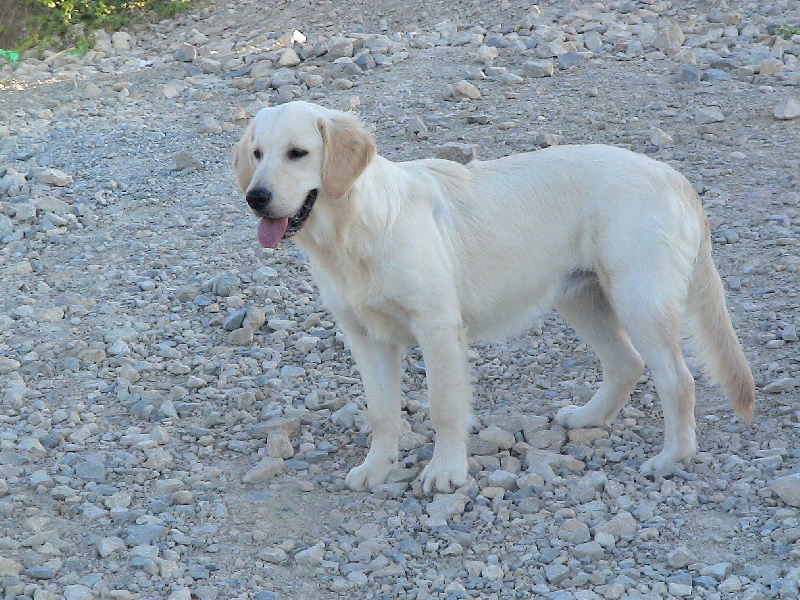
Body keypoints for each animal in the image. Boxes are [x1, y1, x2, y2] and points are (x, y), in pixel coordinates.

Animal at [233, 102, 756, 492]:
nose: (255, 197)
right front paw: (377, 468)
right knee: (626, 363)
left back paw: (672, 457)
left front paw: (446, 471)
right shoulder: (365, 336)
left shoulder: (438, 328)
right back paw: (588, 417)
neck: (355, 230)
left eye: (298, 153)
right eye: (257, 153)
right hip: (581, 297)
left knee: (677, 380)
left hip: (638, 299)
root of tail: (672, 176)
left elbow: (445, 406)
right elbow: (382, 412)